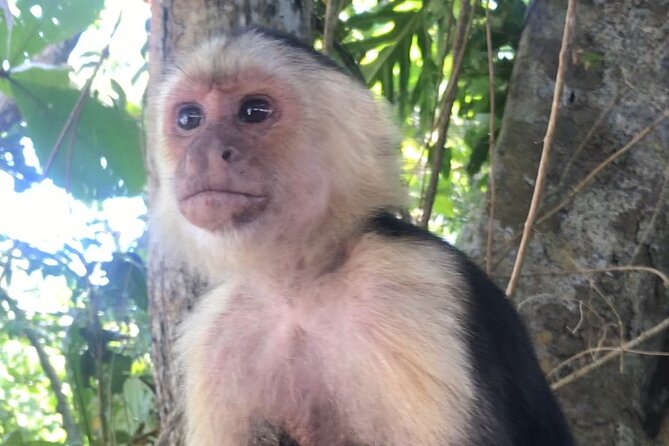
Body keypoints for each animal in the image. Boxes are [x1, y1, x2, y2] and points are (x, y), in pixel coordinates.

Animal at [153, 27, 576, 446]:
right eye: (190, 118)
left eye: (254, 111)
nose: (204, 152)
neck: (299, 288)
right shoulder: (213, 339)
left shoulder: (412, 285)